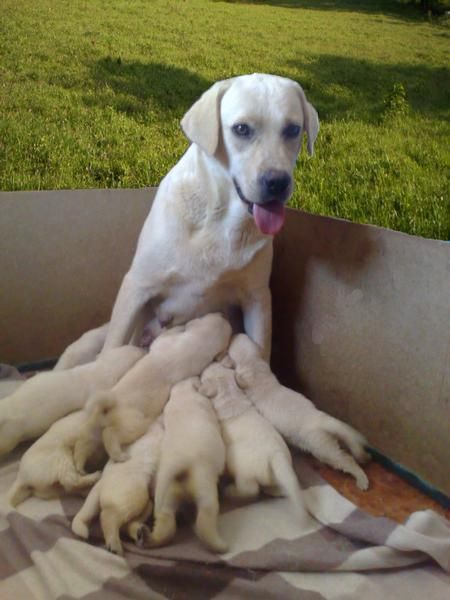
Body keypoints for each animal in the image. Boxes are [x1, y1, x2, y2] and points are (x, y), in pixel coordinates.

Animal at [56, 72, 318, 368]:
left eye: (293, 130)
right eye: (241, 129)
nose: (277, 182)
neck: (220, 218)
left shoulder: (257, 298)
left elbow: (260, 350)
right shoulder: (136, 285)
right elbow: (115, 341)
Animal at [85, 312, 232, 462]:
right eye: (210, 315)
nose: (221, 313)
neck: (197, 342)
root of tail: (107, 409)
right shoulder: (166, 342)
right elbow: (167, 334)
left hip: (133, 425)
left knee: (109, 433)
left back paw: (118, 455)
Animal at [151, 378, 229, 556]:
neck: (183, 394)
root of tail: (182, 467)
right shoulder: (204, 402)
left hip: (167, 496)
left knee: (166, 521)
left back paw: (148, 538)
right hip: (205, 490)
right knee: (205, 520)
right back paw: (219, 545)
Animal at [227, 336, 370, 490]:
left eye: (230, 346)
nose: (234, 334)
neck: (255, 365)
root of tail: (319, 418)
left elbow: (239, 379)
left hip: (323, 449)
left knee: (347, 460)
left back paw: (362, 480)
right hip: (330, 441)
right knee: (349, 445)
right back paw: (365, 457)